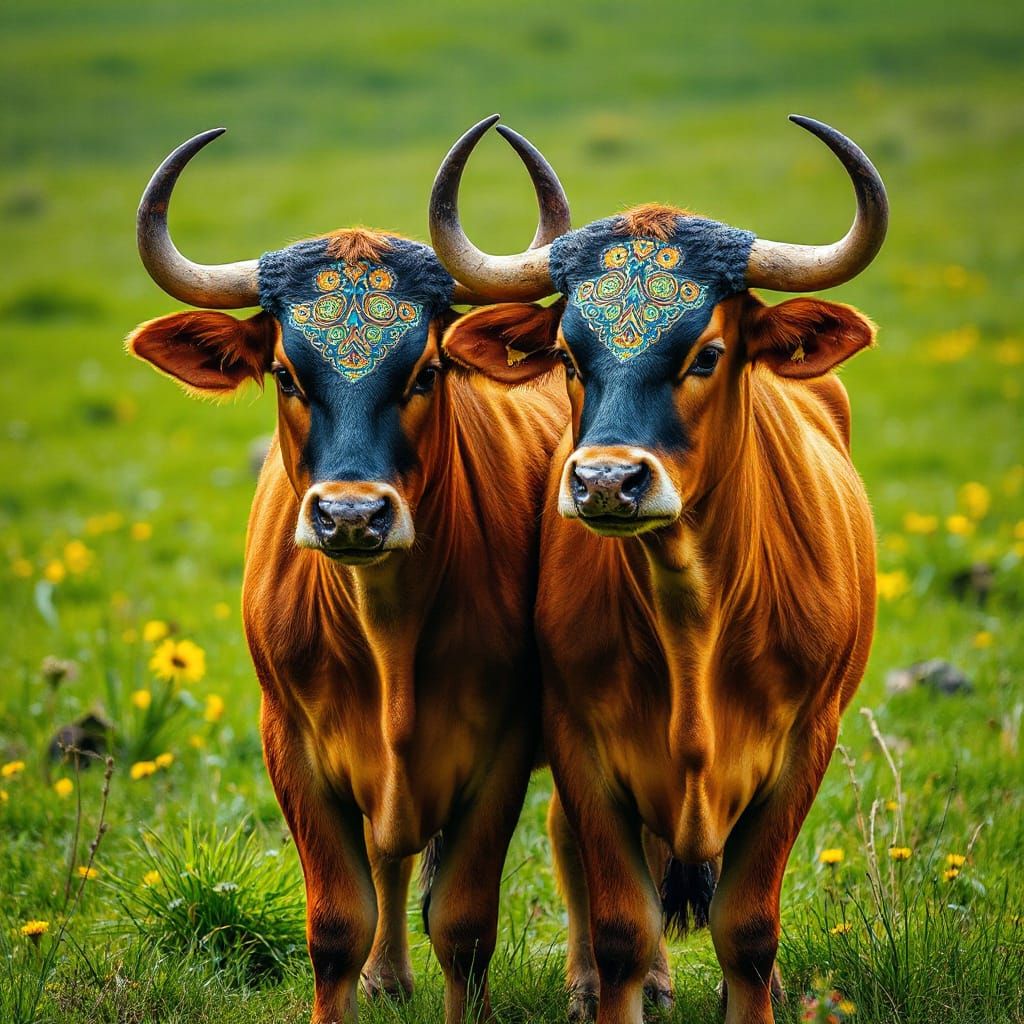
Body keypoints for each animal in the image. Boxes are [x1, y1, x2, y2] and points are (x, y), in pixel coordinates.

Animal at [126, 125, 572, 1024]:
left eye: (427, 372)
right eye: (287, 375)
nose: (353, 518)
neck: (387, 630)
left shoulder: (503, 750)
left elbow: (464, 926)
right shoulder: (292, 747)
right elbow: (338, 923)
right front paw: (365, 976)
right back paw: (388, 977)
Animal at [429, 114, 888, 1024]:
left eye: (707, 354)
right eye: (569, 356)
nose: (609, 481)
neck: (693, 618)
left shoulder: (803, 749)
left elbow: (747, 927)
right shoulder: (582, 743)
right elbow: (621, 928)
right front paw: (612, 987)